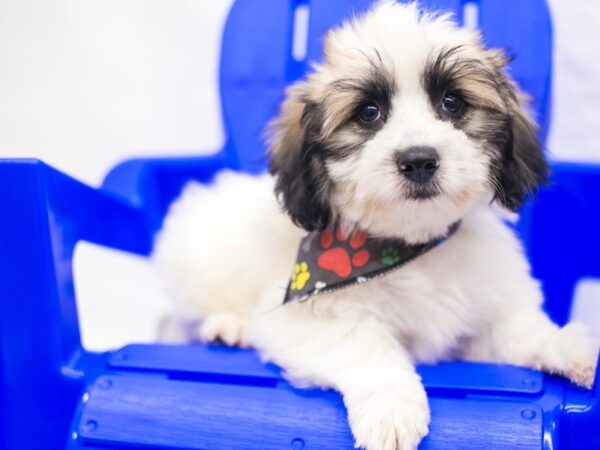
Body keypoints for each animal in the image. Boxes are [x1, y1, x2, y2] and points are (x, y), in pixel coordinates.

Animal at [156, 1, 600, 448]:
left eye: (452, 103)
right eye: (368, 113)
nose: (419, 159)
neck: (408, 246)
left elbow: (519, 331)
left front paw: (568, 345)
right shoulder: (297, 315)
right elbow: (363, 343)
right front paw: (392, 410)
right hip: (201, 259)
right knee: (179, 319)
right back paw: (226, 326)